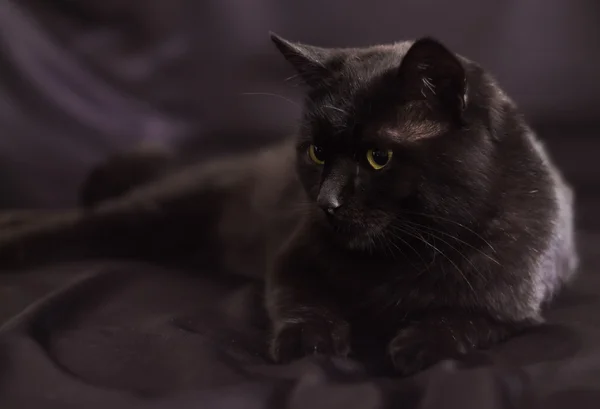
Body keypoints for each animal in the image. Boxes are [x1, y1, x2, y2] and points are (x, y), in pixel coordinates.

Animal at [0, 35, 576, 376]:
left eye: (379, 157)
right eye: (317, 151)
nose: (327, 202)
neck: (401, 258)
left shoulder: (518, 298)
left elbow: (468, 319)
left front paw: (420, 344)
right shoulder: (290, 259)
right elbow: (301, 299)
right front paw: (311, 340)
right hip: (158, 210)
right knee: (78, 223)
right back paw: (12, 234)